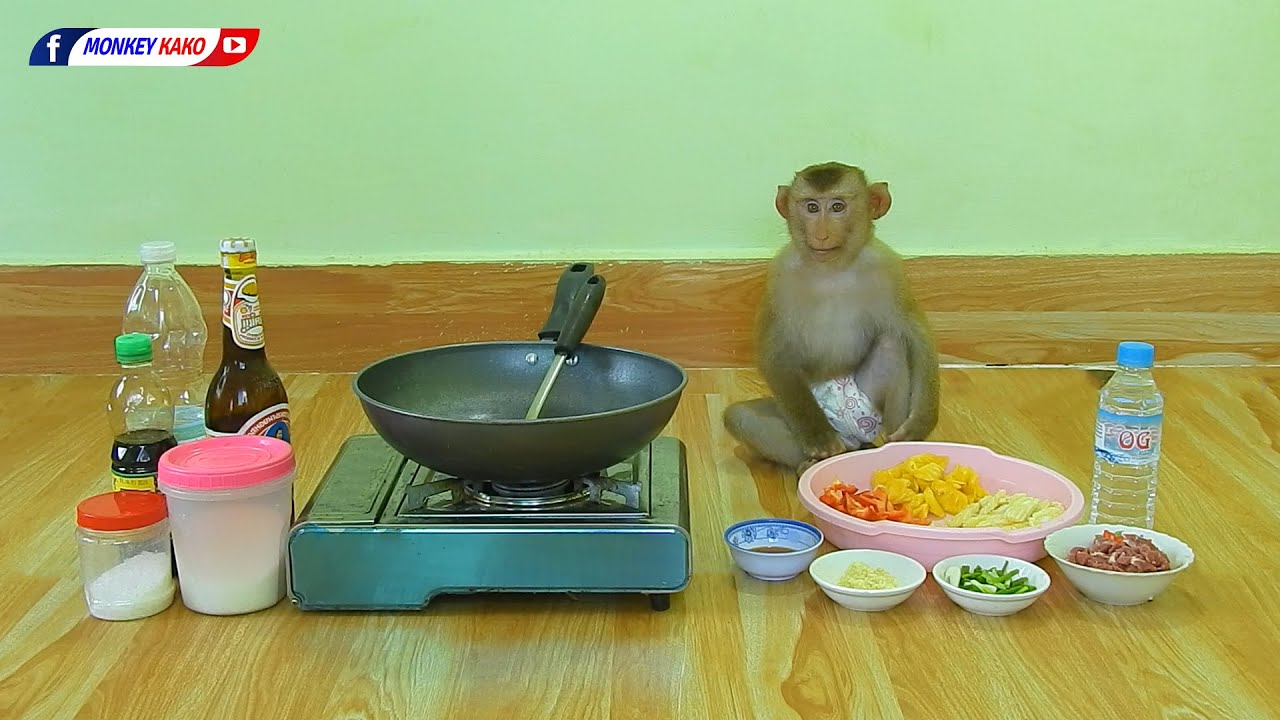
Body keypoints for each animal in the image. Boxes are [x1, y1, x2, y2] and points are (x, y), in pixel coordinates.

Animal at [723, 161, 940, 473]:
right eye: (812, 207)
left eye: (837, 207)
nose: (822, 234)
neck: (832, 269)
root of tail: (852, 442)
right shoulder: (779, 276)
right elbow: (774, 353)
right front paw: (819, 437)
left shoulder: (889, 269)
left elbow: (915, 335)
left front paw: (921, 422)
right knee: (741, 416)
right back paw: (811, 461)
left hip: (865, 415)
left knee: (892, 345)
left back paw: (896, 450)